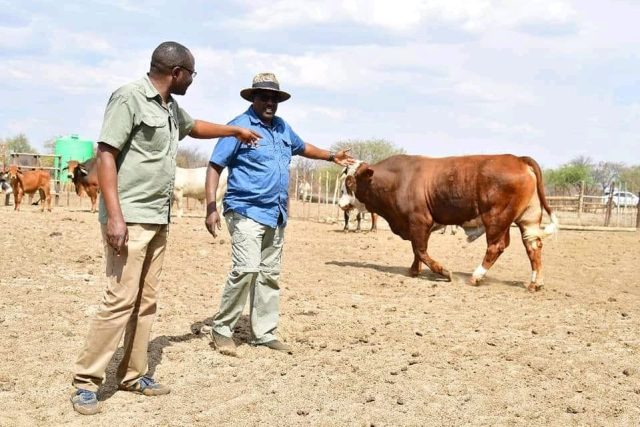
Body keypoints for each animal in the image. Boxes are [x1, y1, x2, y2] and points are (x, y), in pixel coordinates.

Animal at [342, 154, 556, 290]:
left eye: (350, 182)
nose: (340, 203)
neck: (398, 180)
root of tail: (518, 159)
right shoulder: (419, 226)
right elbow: (417, 250)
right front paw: (414, 270)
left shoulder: (419, 220)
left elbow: (420, 250)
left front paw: (444, 272)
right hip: (528, 218)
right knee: (533, 246)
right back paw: (535, 283)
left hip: (497, 219)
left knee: (496, 247)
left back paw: (476, 277)